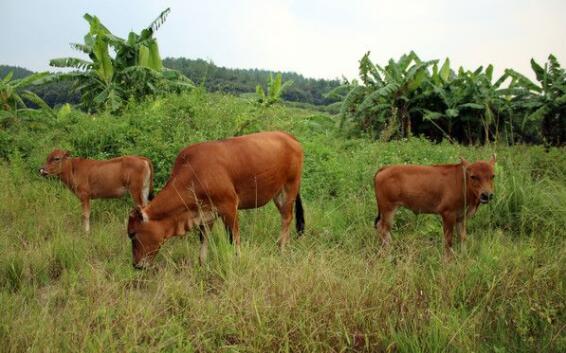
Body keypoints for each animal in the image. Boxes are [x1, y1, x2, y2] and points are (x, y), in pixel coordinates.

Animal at [127, 131, 306, 268]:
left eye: (133, 234)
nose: (136, 265)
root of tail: (288, 136)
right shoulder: (205, 213)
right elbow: (203, 239)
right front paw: (201, 264)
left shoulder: (229, 207)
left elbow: (234, 239)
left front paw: (238, 262)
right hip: (278, 193)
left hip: (289, 188)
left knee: (287, 218)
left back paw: (281, 248)